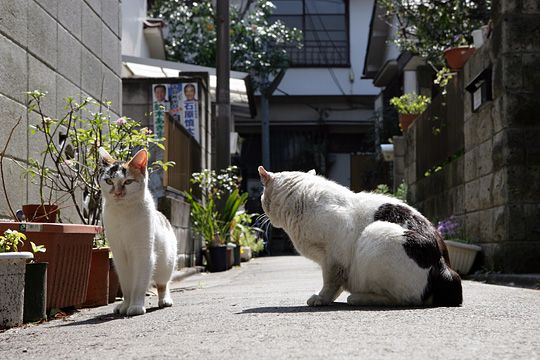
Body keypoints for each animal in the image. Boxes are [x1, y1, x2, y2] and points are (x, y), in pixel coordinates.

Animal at [99, 148, 177, 316]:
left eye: (128, 182)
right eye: (109, 181)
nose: (117, 193)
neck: (123, 213)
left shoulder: (143, 253)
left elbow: (139, 284)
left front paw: (135, 306)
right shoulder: (119, 256)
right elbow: (126, 285)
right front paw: (125, 305)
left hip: (166, 263)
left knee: (163, 283)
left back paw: (164, 300)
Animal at [260, 167, 462, 308]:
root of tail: (446, 270)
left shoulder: (334, 254)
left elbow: (331, 280)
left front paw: (322, 298)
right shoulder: (333, 261)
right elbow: (337, 282)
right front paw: (329, 298)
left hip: (376, 233)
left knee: (403, 299)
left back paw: (359, 298)